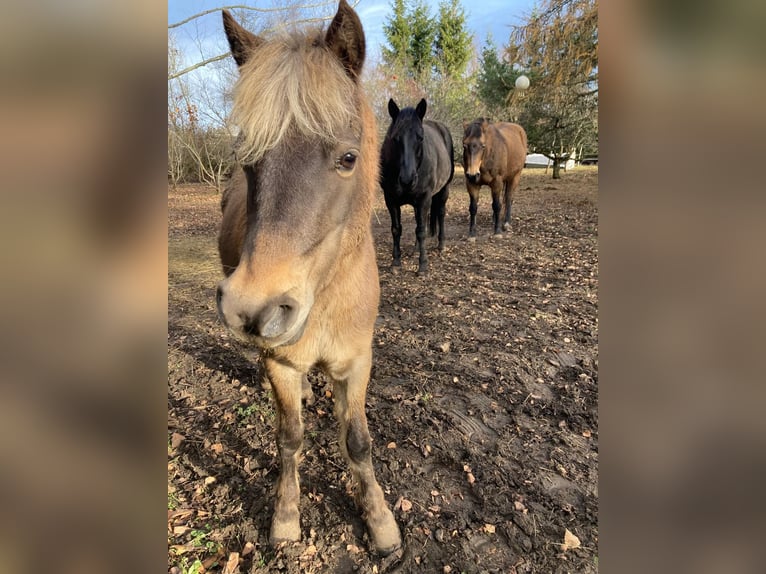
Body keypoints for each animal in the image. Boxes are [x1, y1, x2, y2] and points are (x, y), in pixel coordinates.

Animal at [216, 1, 401, 555]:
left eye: (348, 157)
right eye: (245, 157)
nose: (253, 308)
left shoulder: (356, 364)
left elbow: (358, 442)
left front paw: (381, 522)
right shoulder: (279, 362)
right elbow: (290, 438)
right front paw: (285, 516)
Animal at [380, 98, 454, 275]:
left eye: (420, 138)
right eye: (395, 138)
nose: (407, 180)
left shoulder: (424, 199)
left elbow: (421, 231)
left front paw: (423, 266)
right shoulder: (390, 200)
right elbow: (396, 229)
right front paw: (396, 262)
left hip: (443, 191)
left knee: (440, 213)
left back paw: (441, 245)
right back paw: (415, 250)